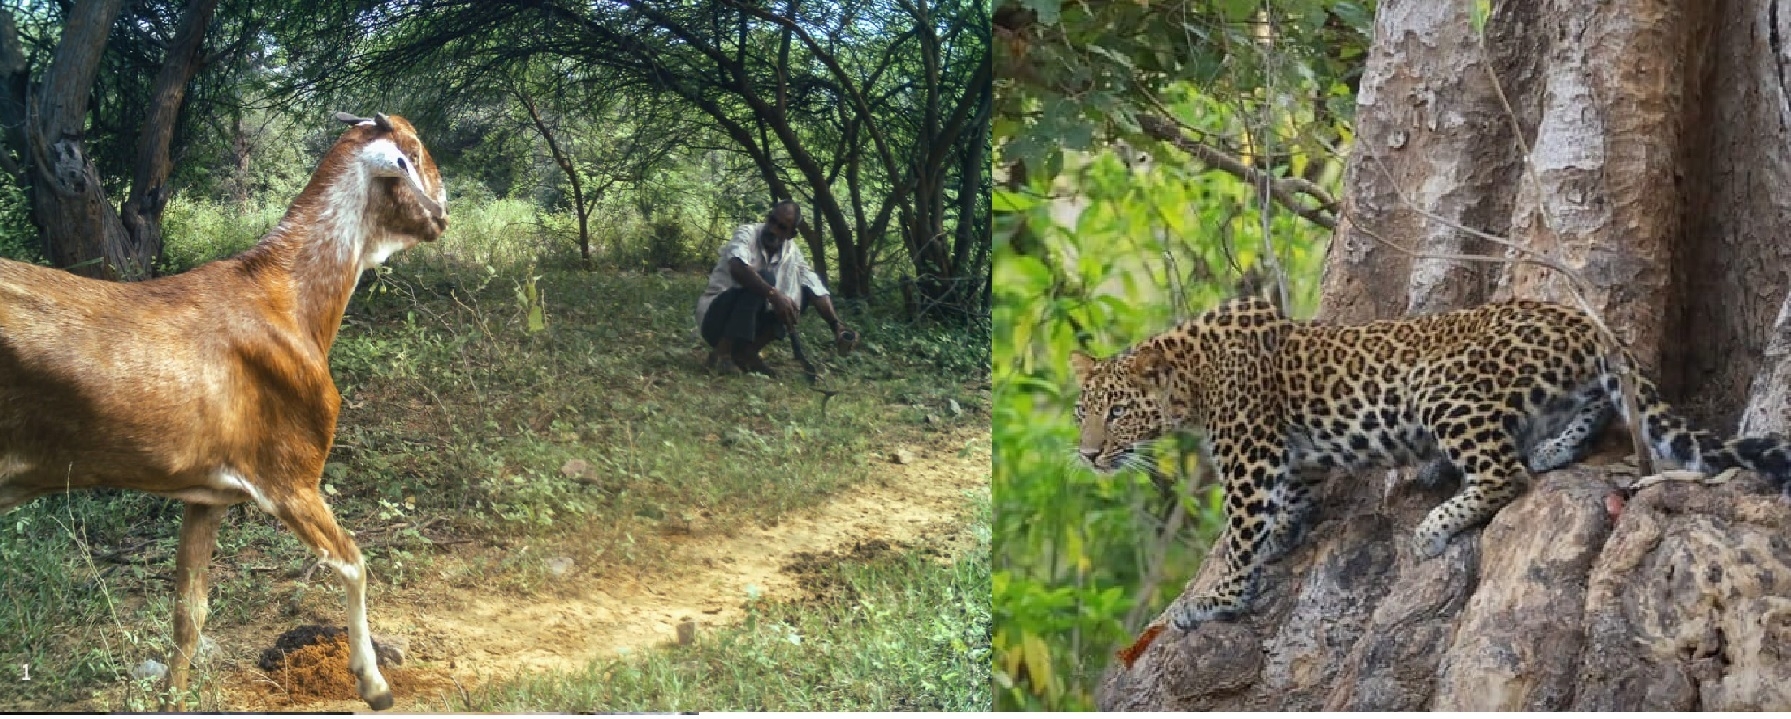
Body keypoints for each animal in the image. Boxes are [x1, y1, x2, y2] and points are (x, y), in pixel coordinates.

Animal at [0, 112, 447, 710]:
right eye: (414, 151)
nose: (443, 213)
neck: (287, 301)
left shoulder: (205, 495)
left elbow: (189, 614)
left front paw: (172, 699)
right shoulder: (289, 475)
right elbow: (353, 562)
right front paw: (373, 684)